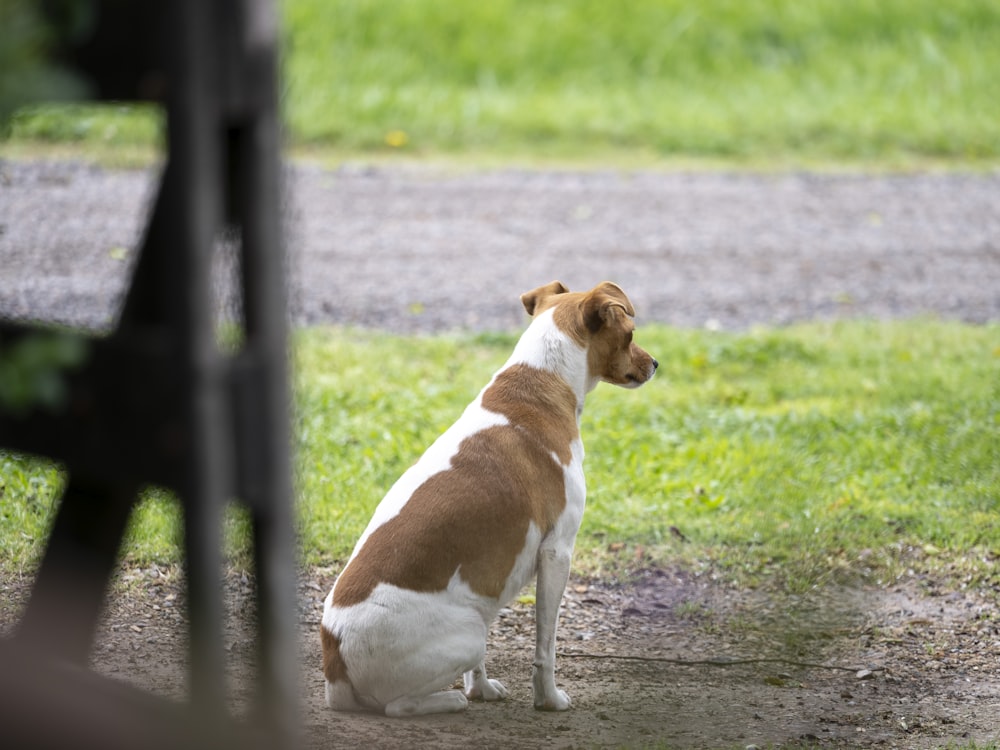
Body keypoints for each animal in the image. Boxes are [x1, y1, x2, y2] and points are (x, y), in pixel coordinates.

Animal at [324, 280, 660, 716]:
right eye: (631, 334)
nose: (656, 363)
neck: (540, 382)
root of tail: (335, 661)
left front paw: (481, 689)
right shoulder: (557, 552)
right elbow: (545, 647)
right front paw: (548, 700)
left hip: (473, 623)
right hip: (468, 634)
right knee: (399, 706)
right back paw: (449, 700)